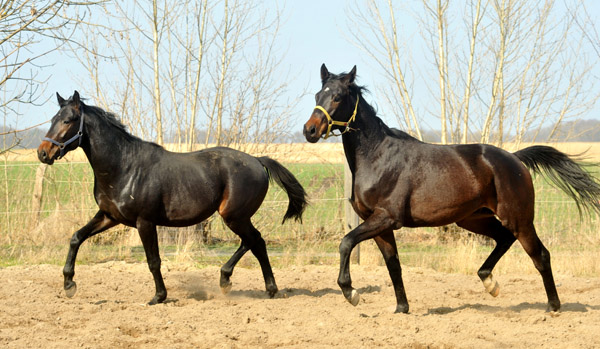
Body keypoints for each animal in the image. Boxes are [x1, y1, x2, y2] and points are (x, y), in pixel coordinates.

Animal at [37, 90, 308, 304]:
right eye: (52, 119)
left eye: (68, 120)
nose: (43, 153)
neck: (123, 167)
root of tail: (257, 161)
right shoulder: (109, 216)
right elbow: (76, 238)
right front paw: (69, 285)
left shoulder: (144, 222)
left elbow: (153, 260)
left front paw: (159, 297)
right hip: (237, 217)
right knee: (250, 242)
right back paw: (228, 281)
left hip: (234, 216)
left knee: (257, 242)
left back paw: (267, 288)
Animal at [302, 63, 600, 312]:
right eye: (317, 96)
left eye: (338, 96)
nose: (310, 131)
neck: (377, 157)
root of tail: (515, 159)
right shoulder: (379, 225)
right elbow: (393, 266)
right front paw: (401, 309)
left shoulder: (386, 218)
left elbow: (346, 242)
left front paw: (351, 293)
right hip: (473, 219)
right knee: (504, 239)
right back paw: (490, 283)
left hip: (519, 219)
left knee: (540, 255)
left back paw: (553, 307)